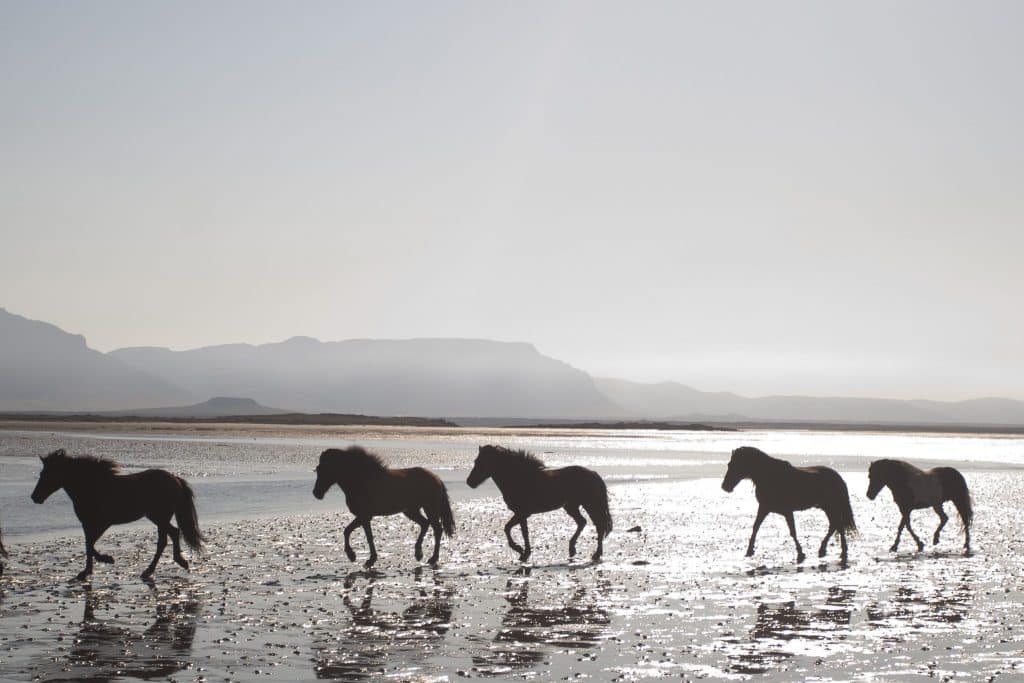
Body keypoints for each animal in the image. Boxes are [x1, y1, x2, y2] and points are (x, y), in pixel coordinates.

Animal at [30, 449, 205, 580]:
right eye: (42, 473)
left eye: (48, 474)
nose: (34, 497)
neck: (91, 487)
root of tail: (174, 478)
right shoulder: (88, 524)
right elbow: (88, 545)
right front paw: (87, 571)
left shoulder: (102, 523)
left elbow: (90, 545)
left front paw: (107, 560)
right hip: (158, 517)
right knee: (173, 533)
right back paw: (177, 562)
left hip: (159, 517)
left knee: (165, 539)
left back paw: (153, 569)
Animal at [312, 446, 455, 568]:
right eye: (318, 469)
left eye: (325, 469)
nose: (316, 493)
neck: (360, 480)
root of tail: (436, 478)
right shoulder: (364, 517)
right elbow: (355, 533)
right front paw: (364, 558)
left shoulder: (364, 516)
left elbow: (357, 534)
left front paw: (358, 557)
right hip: (411, 511)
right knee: (425, 524)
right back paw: (418, 554)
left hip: (430, 508)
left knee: (437, 529)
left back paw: (433, 558)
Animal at [466, 444, 613, 563]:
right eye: (476, 461)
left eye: (481, 462)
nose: (469, 482)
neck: (518, 477)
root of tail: (594, 475)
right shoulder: (522, 514)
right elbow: (514, 529)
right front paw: (522, 552)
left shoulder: (522, 513)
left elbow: (515, 530)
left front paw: (521, 551)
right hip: (571, 507)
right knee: (582, 522)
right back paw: (572, 549)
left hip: (591, 505)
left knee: (599, 526)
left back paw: (596, 554)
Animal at [721, 446, 856, 564]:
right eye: (729, 465)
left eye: (735, 465)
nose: (725, 486)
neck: (769, 476)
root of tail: (838, 477)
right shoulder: (764, 508)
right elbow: (756, 527)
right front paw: (749, 550)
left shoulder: (787, 511)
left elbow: (792, 531)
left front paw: (800, 553)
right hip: (827, 508)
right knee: (834, 525)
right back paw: (825, 550)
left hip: (831, 507)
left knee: (838, 526)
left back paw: (840, 551)